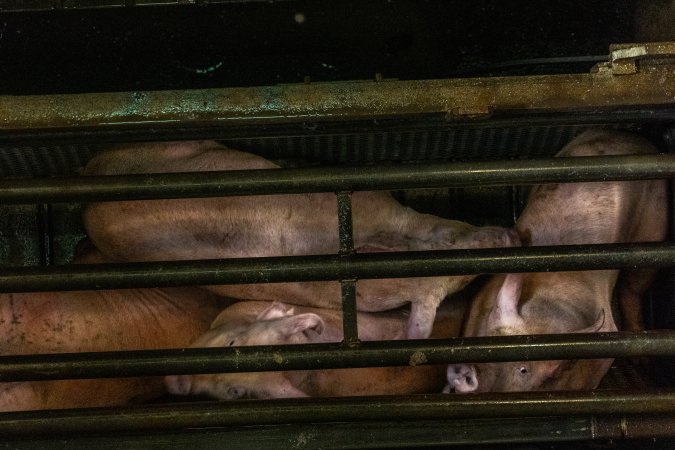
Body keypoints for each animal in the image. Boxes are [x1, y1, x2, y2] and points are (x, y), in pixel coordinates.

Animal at [446, 130, 668, 394]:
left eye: (552, 374)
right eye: (490, 351)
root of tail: (629, 135)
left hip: (654, 224)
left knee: (633, 288)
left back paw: (641, 361)